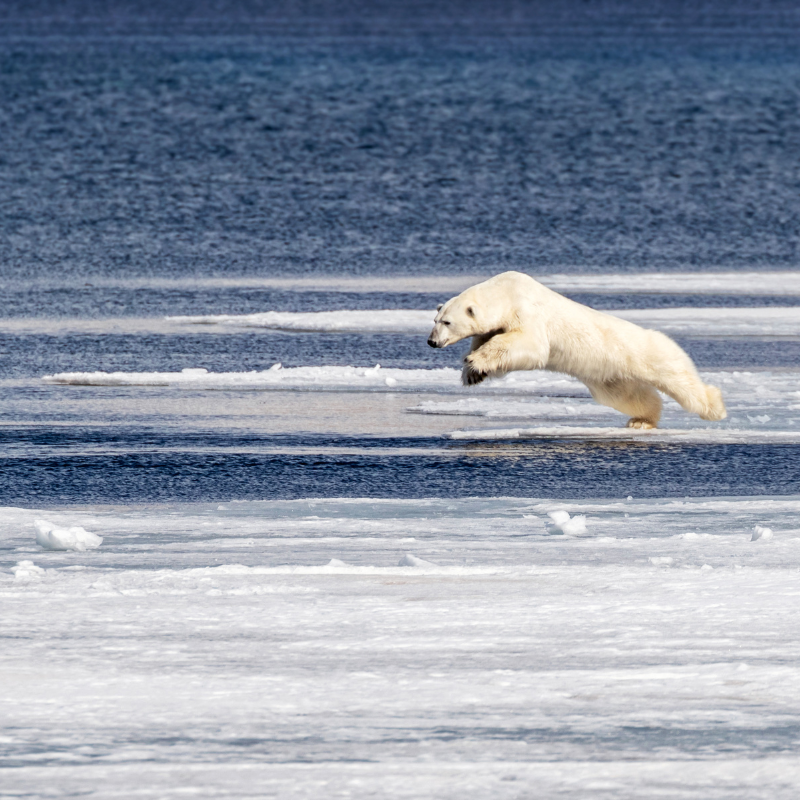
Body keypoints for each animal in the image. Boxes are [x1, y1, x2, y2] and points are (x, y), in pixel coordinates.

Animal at [427, 271, 726, 429]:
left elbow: (529, 345)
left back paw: (715, 408)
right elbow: (486, 340)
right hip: (609, 375)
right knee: (630, 396)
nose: (432, 342)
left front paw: (476, 362)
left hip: (646, 352)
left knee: (678, 378)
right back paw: (641, 420)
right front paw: (472, 373)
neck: (506, 292)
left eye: (447, 322)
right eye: (435, 320)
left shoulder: (527, 312)